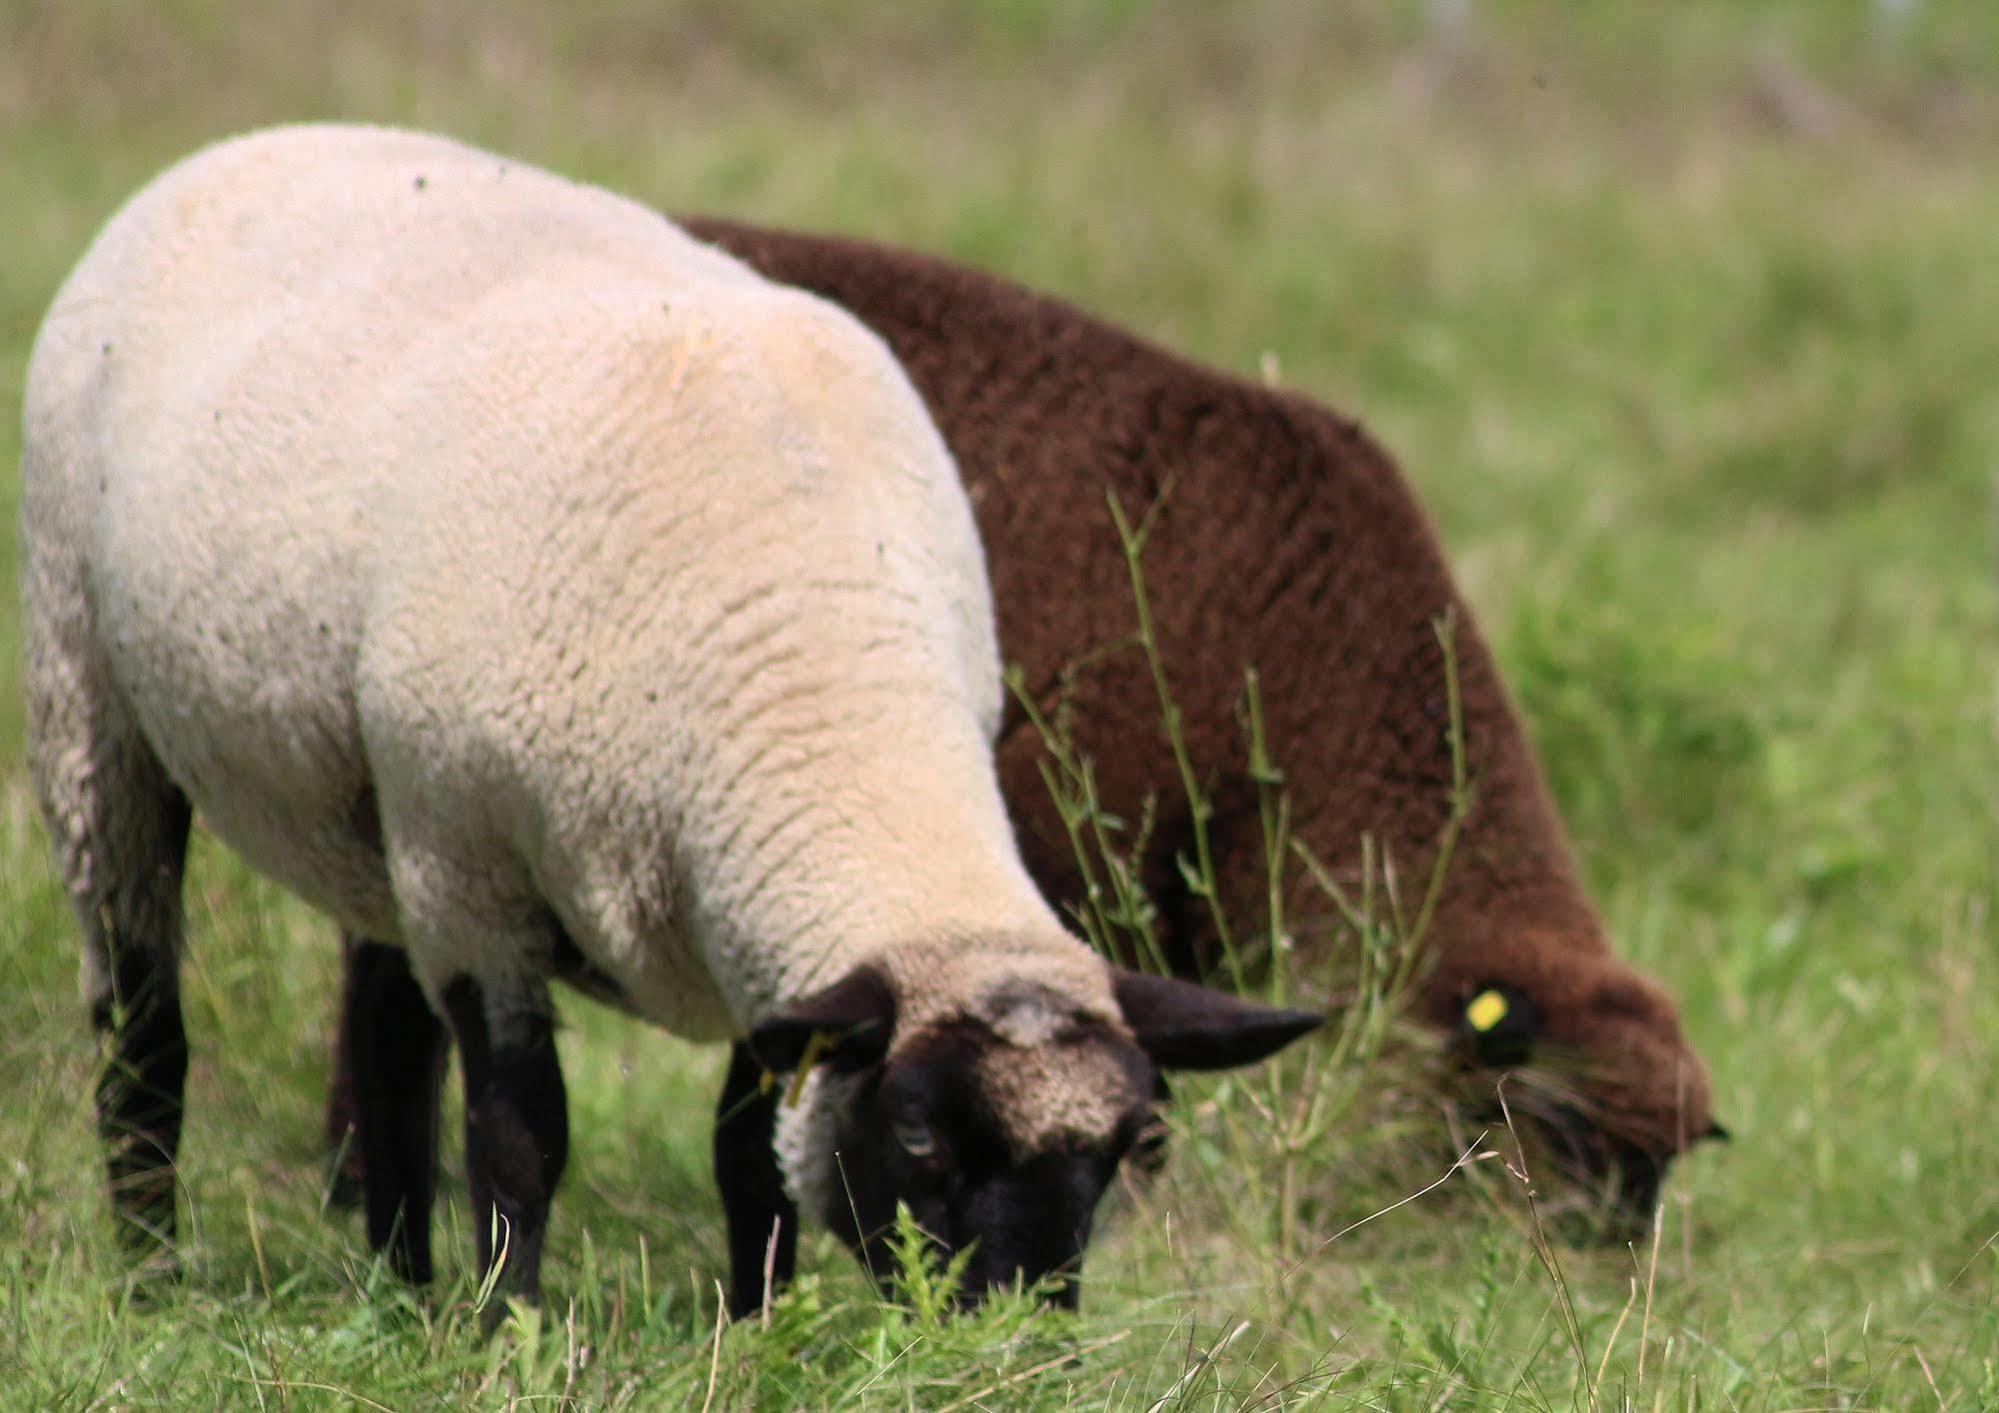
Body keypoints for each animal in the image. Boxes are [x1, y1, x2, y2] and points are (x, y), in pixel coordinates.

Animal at [23, 126, 1319, 1319]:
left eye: (1132, 1148)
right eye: (916, 1132)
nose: (1013, 1340)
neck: (817, 666)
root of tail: (262, 140)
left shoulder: (754, 933)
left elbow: (749, 1159)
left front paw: (753, 1331)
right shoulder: (474, 874)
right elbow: (520, 1130)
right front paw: (509, 1331)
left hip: (377, 806)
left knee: (387, 1034)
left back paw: (396, 1289)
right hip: (91, 689)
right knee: (142, 1023)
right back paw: (153, 1275)